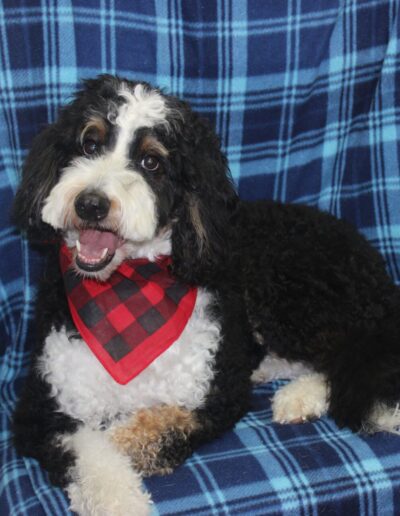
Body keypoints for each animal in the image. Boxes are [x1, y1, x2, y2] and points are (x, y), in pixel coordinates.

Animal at [11, 74, 400, 512]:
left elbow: (161, 423)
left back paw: (303, 396)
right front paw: (118, 495)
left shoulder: (220, 393)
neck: (128, 289)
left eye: (151, 162)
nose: (91, 204)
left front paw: (124, 445)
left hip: (288, 295)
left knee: (347, 355)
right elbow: (90, 453)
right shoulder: (41, 407)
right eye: (89, 143)